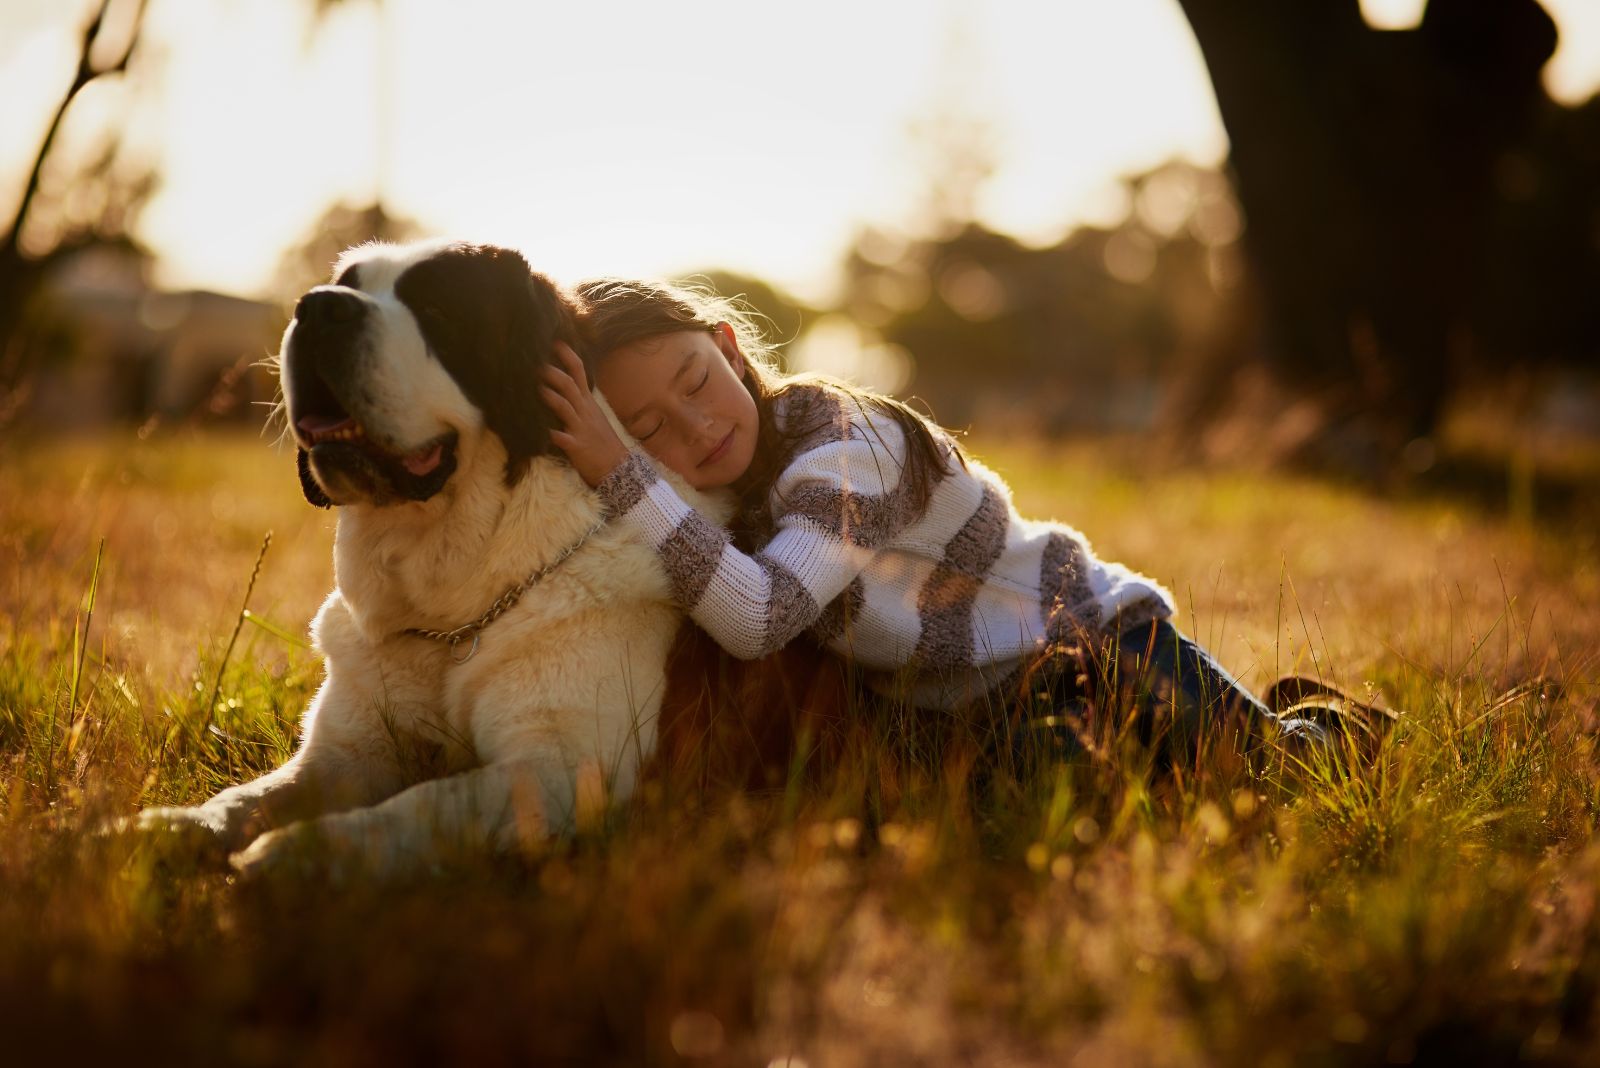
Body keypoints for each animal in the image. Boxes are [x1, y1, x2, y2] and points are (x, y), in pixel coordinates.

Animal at [131, 239, 732, 876]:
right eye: (349, 284)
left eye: (437, 310)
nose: (319, 307)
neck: (455, 609)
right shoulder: (346, 748)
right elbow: (253, 795)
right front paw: (165, 828)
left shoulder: (560, 768)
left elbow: (424, 802)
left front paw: (292, 853)